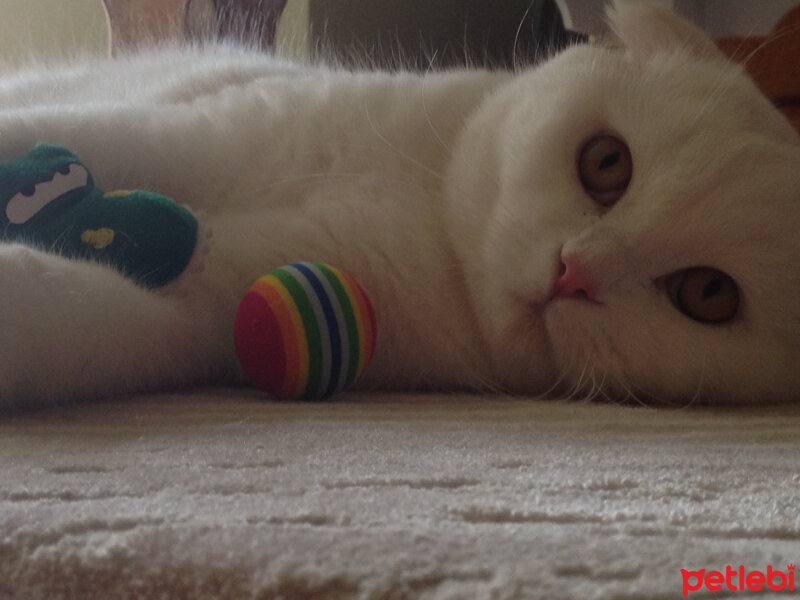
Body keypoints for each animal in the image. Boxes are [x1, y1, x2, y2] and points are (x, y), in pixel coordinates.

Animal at [0, 1, 796, 408]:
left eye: (708, 294)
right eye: (607, 163)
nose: (575, 272)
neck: (425, 209)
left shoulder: (194, 315)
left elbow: (71, 316)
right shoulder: (182, 134)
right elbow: (56, 125)